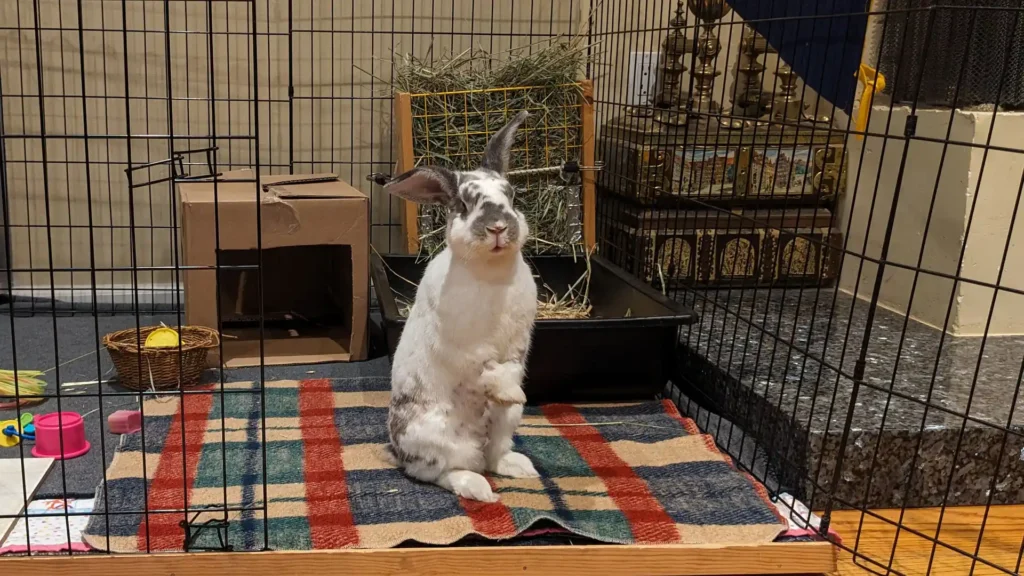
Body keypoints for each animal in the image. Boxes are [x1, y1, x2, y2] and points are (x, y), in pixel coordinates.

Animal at [383, 111, 539, 503]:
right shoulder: (464, 346)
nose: (498, 227)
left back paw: (521, 467)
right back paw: (480, 489)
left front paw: (512, 393)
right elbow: (485, 367)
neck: (491, 273)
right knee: (440, 472)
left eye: (512, 197)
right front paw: (509, 392)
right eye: (465, 206)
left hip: (506, 426)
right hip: (433, 440)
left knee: (493, 455)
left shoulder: (519, 344)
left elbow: (509, 366)